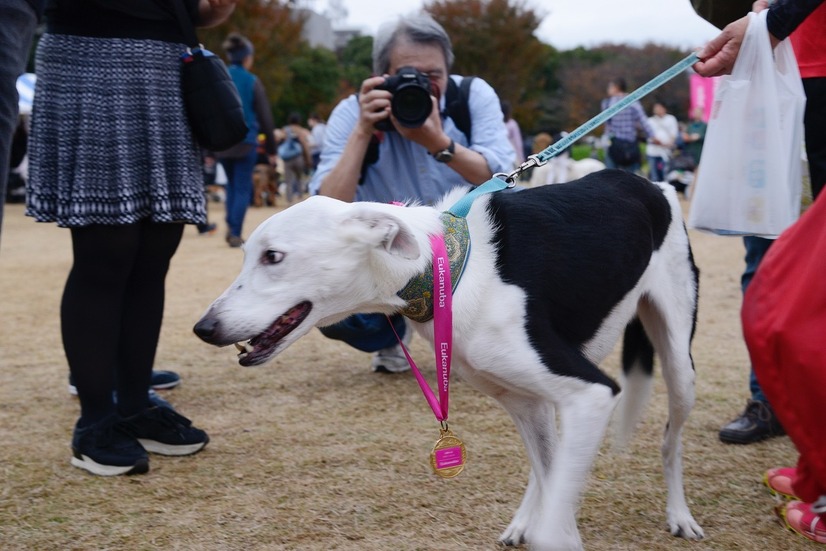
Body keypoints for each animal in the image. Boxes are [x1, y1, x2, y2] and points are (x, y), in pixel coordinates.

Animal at [193, 170, 700, 548]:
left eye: (273, 257)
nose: (204, 328)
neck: (449, 270)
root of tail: (651, 182)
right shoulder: (528, 401)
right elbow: (552, 489)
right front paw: (536, 521)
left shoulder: (593, 392)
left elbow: (556, 521)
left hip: (679, 366)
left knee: (670, 442)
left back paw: (680, 515)